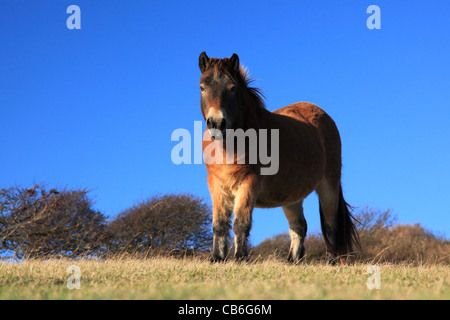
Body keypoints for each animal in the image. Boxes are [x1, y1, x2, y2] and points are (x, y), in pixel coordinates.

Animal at [199, 52, 360, 262]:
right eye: (202, 87)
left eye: (232, 88)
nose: (217, 123)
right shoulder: (217, 186)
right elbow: (219, 225)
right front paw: (217, 259)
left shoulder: (248, 184)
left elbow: (241, 223)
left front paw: (240, 258)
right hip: (292, 197)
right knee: (299, 227)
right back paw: (292, 261)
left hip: (328, 186)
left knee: (331, 227)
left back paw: (332, 262)